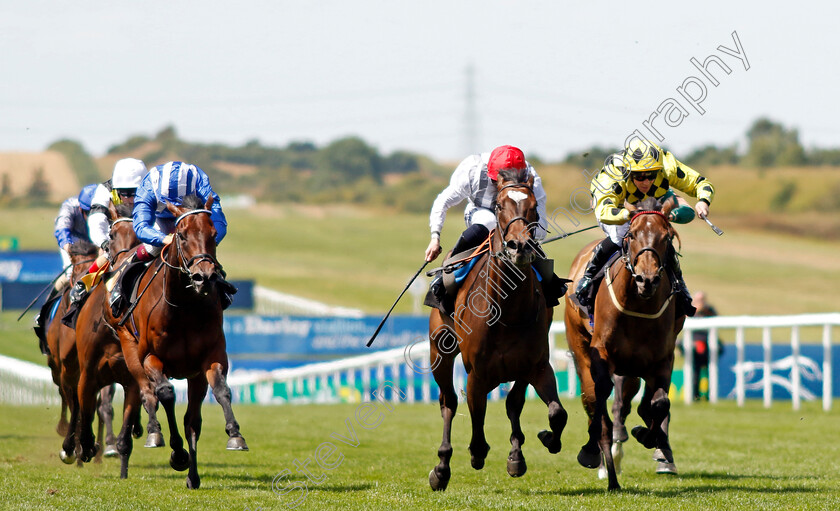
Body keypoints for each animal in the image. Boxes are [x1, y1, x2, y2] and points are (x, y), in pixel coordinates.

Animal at [74, 201, 158, 480]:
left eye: (141, 237)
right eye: (111, 235)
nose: (124, 265)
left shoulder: (132, 380)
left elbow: (124, 435)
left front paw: (122, 469)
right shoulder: (88, 374)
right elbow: (86, 411)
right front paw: (85, 447)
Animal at [92, 194, 248, 490]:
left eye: (213, 233)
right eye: (182, 235)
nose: (204, 276)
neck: (183, 307)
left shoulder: (211, 358)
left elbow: (220, 393)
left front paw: (235, 435)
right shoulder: (151, 358)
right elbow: (165, 394)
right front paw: (177, 453)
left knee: (192, 420)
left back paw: (193, 476)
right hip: (129, 348)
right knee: (147, 393)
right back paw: (153, 433)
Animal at [430, 171, 568, 492]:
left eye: (533, 206)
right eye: (499, 205)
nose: (520, 246)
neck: (508, 309)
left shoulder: (536, 365)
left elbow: (553, 411)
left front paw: (539, 443)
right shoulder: (477, 373)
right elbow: (477, 417)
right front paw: (475, 454)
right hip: (439, 351)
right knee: (448, 403)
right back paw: (442, 467)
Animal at [564, 197, 684, 492]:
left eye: (667, 237)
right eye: (631, 235)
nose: (647, 279)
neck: (639, 305)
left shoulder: (661, 358)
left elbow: (659, 403)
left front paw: (650, 437)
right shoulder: (602, 356)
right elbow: (600, 402)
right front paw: (597, 456)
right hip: (579, 345)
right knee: (592, 401)